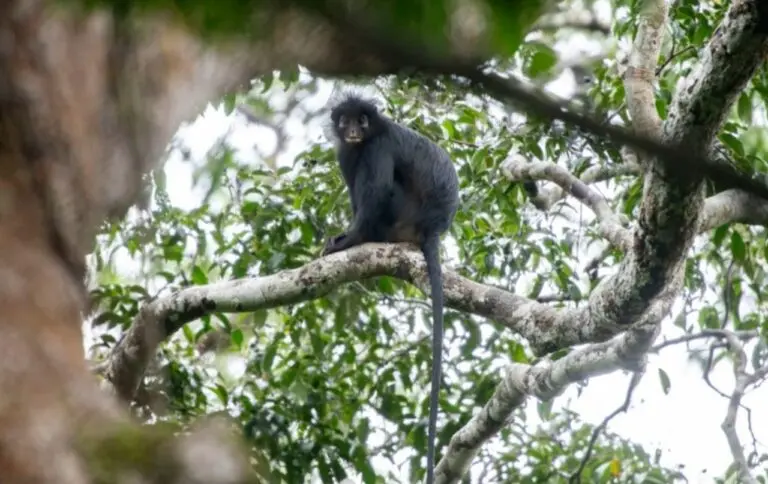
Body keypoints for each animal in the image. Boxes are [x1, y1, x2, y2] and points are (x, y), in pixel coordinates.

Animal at [321, 93, 459, 484]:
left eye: (363, 120)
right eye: (347, 120)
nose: (353, 131)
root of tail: (432, 227)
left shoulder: (377, 146)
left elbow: (376, 189)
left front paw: (349, 240)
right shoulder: (346, 150)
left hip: (401, 214)